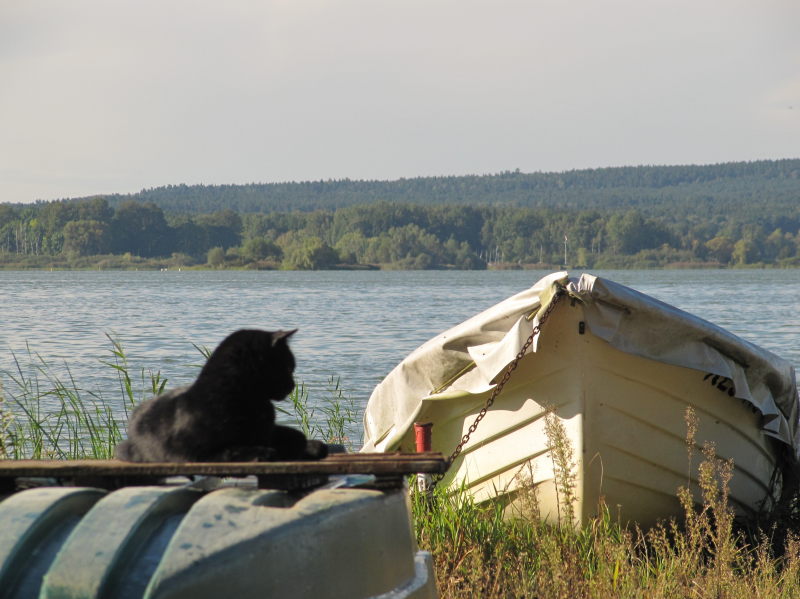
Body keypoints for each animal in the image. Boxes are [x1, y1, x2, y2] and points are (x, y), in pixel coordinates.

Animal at [114, 330, 326, 462]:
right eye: (289, 367)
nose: (292, 386)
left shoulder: (266, 431)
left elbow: (295, 436)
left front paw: (310, 447)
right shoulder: (190, 453)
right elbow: (231, 450)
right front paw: (262, 453)